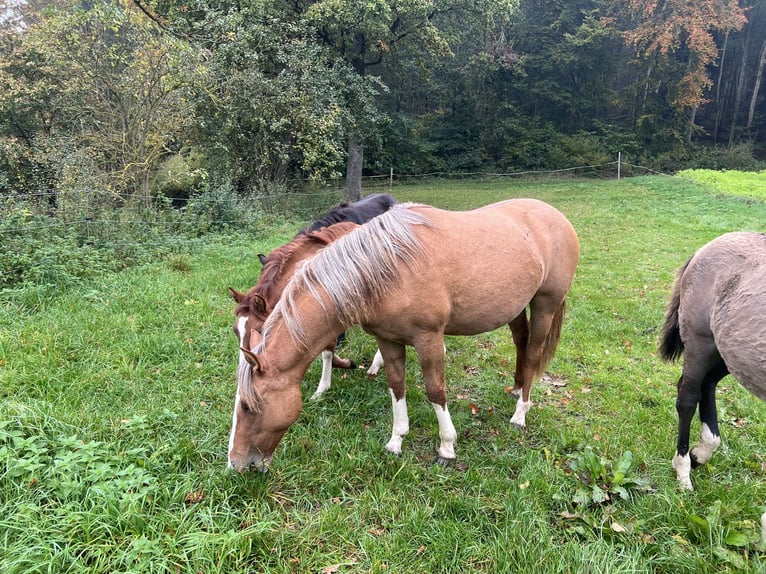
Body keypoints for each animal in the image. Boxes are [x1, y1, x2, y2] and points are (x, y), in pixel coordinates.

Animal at [660, 232, 766, 492]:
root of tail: (706, 248)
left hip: (729, 352)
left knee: (707, 385)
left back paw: (700, 453)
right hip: (701, 343)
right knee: (687, 398)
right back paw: (684, 470)